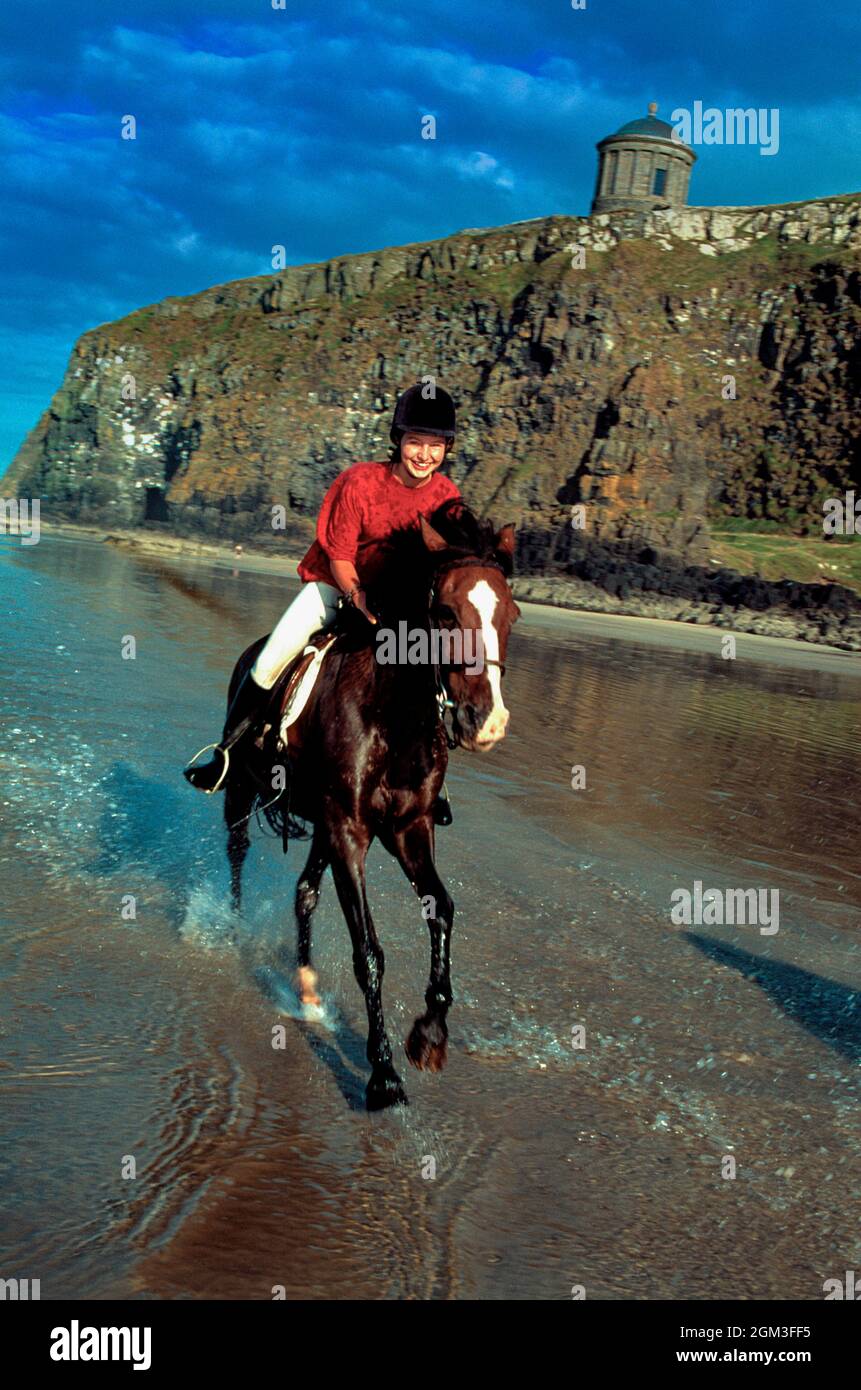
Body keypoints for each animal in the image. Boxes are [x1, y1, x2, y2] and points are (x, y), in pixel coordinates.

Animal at [222, 500, 517, 1106]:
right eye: (445, 613)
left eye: (513, 616)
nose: (487, 721)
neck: (394, 714)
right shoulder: (351, 831)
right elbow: (369, 951)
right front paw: (382, 1073)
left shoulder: (408, 827)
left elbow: (442, 910)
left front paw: (429, 1036)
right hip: (244, 792)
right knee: (237, 853)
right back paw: (234, 927)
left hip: (321, 826)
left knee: (305, 893)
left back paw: (308, 989)